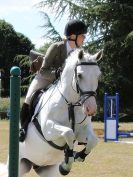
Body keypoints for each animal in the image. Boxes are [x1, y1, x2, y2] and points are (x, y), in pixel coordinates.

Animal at [19, 48, 103, 177]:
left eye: (98, 75)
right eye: (79, 75)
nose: (91, 108)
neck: (71, 104)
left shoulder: (82, 130)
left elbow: (93, 140)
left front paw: (79, 156)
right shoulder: (48, 129)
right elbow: (68, 133)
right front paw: (66, 164)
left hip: (47, 169)